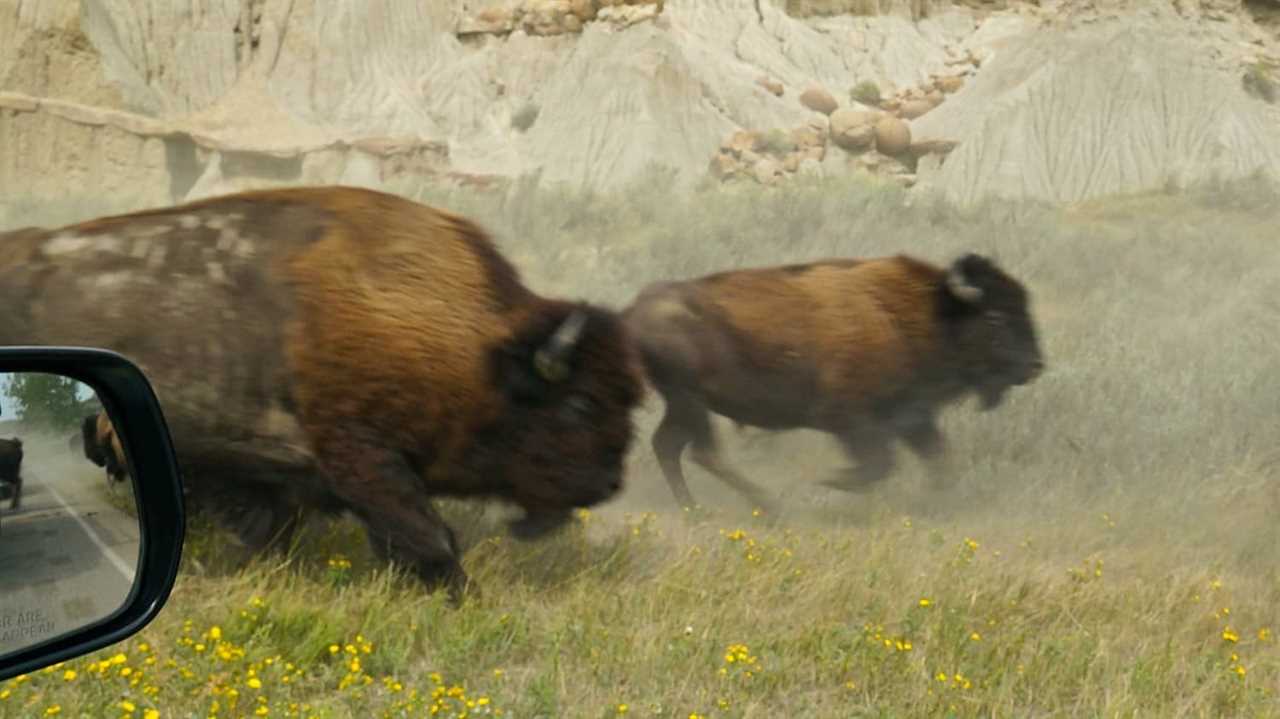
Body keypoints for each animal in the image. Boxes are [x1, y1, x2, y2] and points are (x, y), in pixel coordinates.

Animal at [0, 184, 645, 593]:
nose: (612, 482)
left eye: (629, 400)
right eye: (582, 402)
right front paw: (467, 600)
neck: (476, 345)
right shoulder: (360, 457)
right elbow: (432, 539)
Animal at [622, 252, 1049, 509]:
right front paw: (832, 481)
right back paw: (769, 505)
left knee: (669, 446)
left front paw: (938, 504)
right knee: (702, 451)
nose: (1034, 365)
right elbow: (880, 463)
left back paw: (696, 510)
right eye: (995, 317)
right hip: (690, 400)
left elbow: (936, 458)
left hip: (683, 404)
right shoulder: (849, 419)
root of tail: (635, 311)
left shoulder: (912, 417)